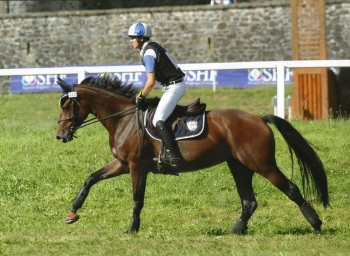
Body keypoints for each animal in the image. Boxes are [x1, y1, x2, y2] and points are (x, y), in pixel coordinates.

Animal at [54, 74, 328, 234]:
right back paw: (235, 231)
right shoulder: (121, 163)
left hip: (262, 164)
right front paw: (72, 213)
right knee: (249, 201)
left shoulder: (136, 166)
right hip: (239, 165)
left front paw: (132, 229)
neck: (123, 118)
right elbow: (90, 179)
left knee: (290, 189)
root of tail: (259, 118)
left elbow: (137, 199)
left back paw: (316, 225)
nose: (60, 136)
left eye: (67, 106)